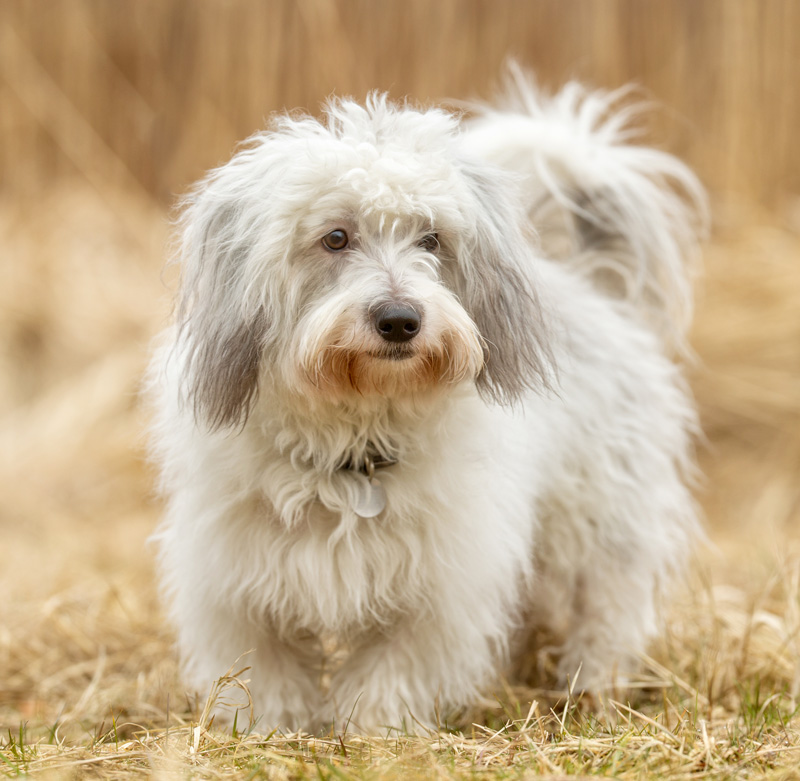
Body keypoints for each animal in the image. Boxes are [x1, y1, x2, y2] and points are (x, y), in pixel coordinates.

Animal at [148, 70, 708, 736]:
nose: (399, 320)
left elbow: (391, 670)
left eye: (432, 238)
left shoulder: (438, 586)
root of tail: (587, 285)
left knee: (608, 607)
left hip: (603, 523)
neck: (354, 448)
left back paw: (595, 685)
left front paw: (376, 733)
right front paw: (269, 732)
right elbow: (266, 670)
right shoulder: (236, 582)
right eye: (335, 237)